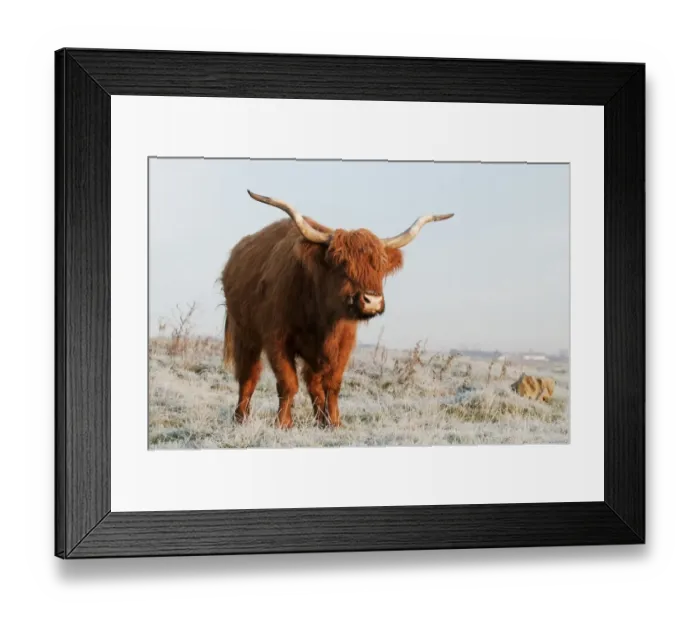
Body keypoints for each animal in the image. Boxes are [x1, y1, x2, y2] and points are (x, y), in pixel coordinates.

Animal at [221, 189, 454, 429]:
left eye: (379, 264)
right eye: (341, 262)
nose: (372, 300)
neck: (322, 314)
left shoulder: (343, 342)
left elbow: (332, 384)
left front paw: (334, 422)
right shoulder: (277, 339)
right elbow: (288, 382)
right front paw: (284, 423)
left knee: (312, 383)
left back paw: (319, 420)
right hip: (244, 333)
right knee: (248, 375)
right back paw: (240, 416)